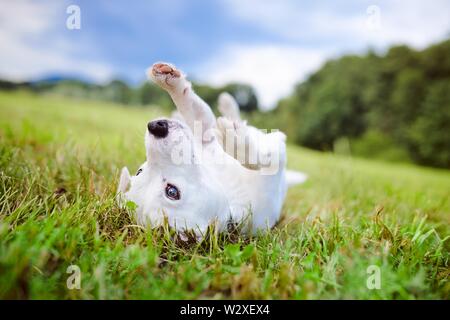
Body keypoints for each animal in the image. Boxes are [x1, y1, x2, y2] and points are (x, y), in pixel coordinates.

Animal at [116, 62, 308, 238]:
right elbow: (260, 159)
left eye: (139, 170)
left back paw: (227, 106)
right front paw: (236, 139)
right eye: (172, 192)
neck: (230, 190)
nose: (155, 127)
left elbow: (194, 111)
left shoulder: (206, 138)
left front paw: (170, 80)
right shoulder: (278, 149)